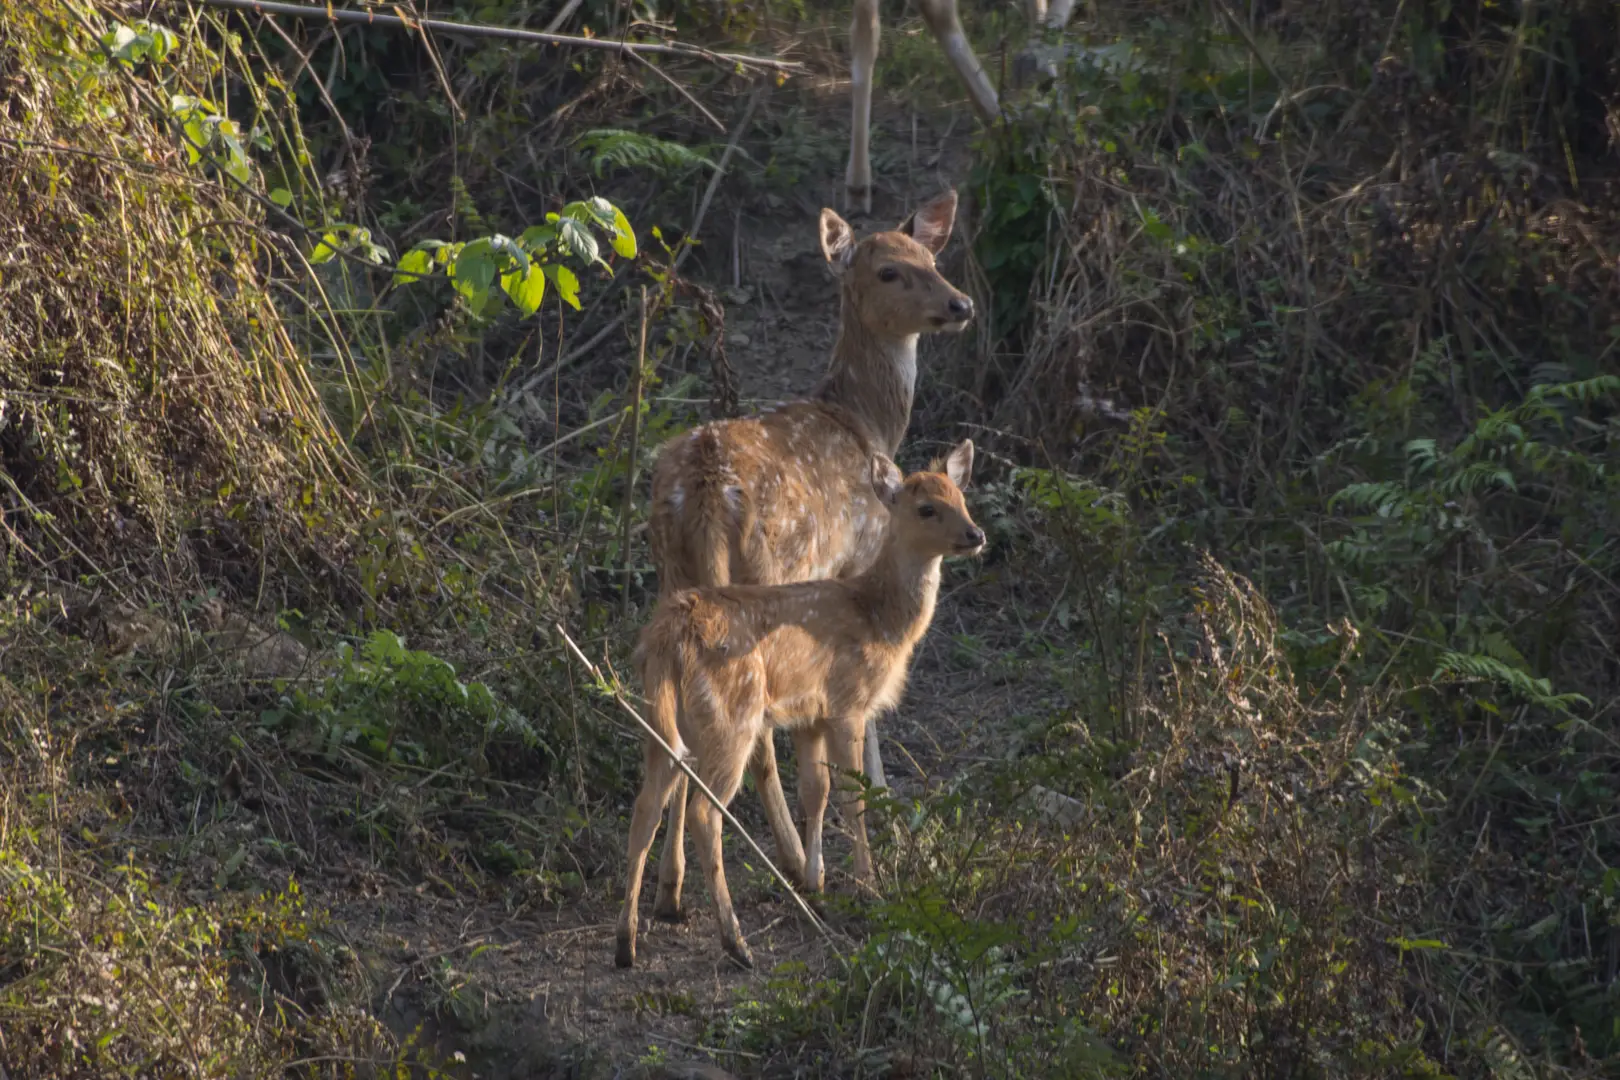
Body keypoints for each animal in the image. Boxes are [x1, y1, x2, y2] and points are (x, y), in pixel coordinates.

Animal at [615, 443, 978, 965]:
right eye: (927, 508)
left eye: (962, 498)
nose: (975, 534)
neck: (878, 616)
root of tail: (669, 638)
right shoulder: (846, 702)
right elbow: (851, 796)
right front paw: (867, 886)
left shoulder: (810, 716)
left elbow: (815, 792)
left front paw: (816, 884)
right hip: (732, 719)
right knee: (706, 813)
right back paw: (736, 942)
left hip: (661, 719)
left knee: (645, 808)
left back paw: (625, 944)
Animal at [644, 191, 972, 919]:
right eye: (888, 271)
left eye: (932, 258)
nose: (961, 303)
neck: (863, 419)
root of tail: (705, 488)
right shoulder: (854, 562)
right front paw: (880, 800)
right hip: (766, 571)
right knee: (754, 734)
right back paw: (794, 864)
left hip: (672, 573)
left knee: (676, 729)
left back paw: (672, 889)